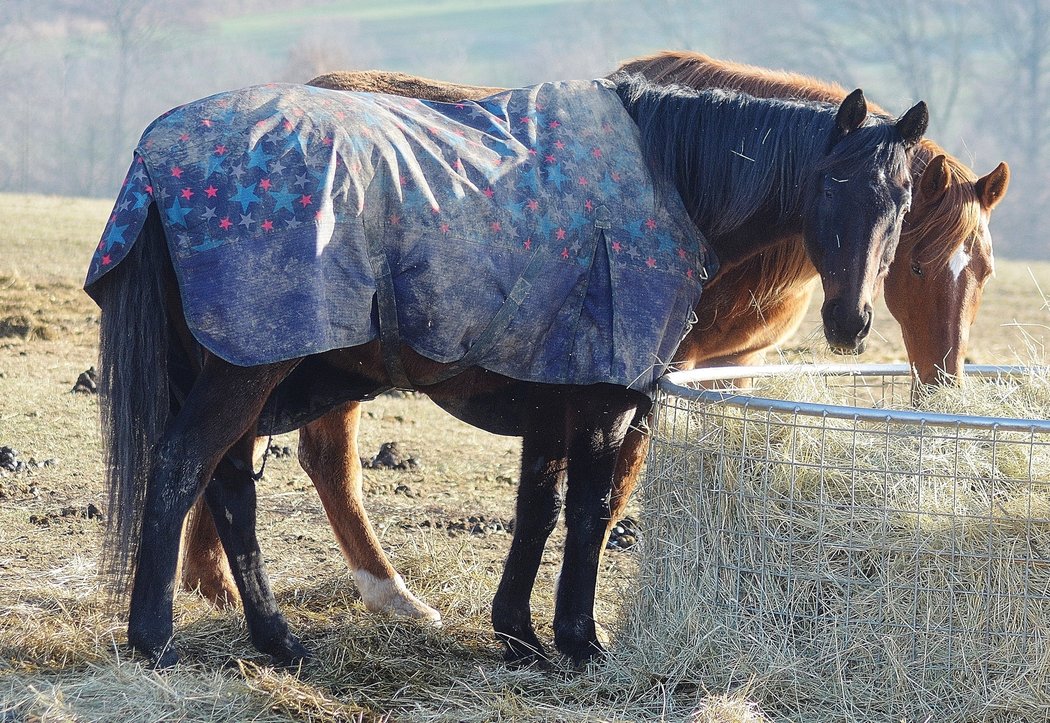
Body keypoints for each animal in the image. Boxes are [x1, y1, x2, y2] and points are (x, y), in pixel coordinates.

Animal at [90, 73, 928, 667]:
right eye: (831, 183)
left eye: (902, 195)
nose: (850, 323)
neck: (667, 178)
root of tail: (156, 154)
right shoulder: (602, 402)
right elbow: (587, 511)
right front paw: (580, 639)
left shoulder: (551, 400)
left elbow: (538, 510)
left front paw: (519, 635)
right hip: (245, 371)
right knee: (181, 470)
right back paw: (155, 637)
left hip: (236, 368)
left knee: (230, 489)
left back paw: (278, 639)